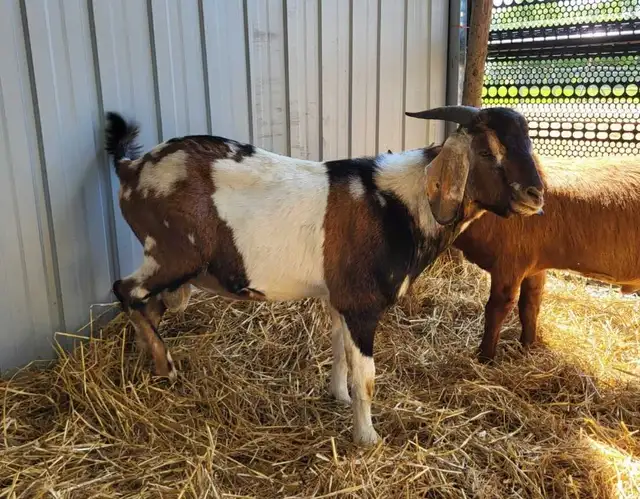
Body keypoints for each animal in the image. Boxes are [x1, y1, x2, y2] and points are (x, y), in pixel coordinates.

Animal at [104, 105, 544, 446]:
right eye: (486, 150)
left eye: (527, 143)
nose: (535, 196)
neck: (398, 203)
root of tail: (131, 169)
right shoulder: (362, 305)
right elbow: (365, 376)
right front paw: (367, 439)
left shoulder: (340, 297)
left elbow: (338, 349)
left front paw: (338, 397)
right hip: (171, 255)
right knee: (126, 290)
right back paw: (165, 366)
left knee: (146, 305)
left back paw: (148, 358)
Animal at [453, 155, 640, 362]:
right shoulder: (534, 266)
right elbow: (530, 305)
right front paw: (527, 346)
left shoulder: (509, 264)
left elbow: (496, 309)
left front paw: (484, 358)